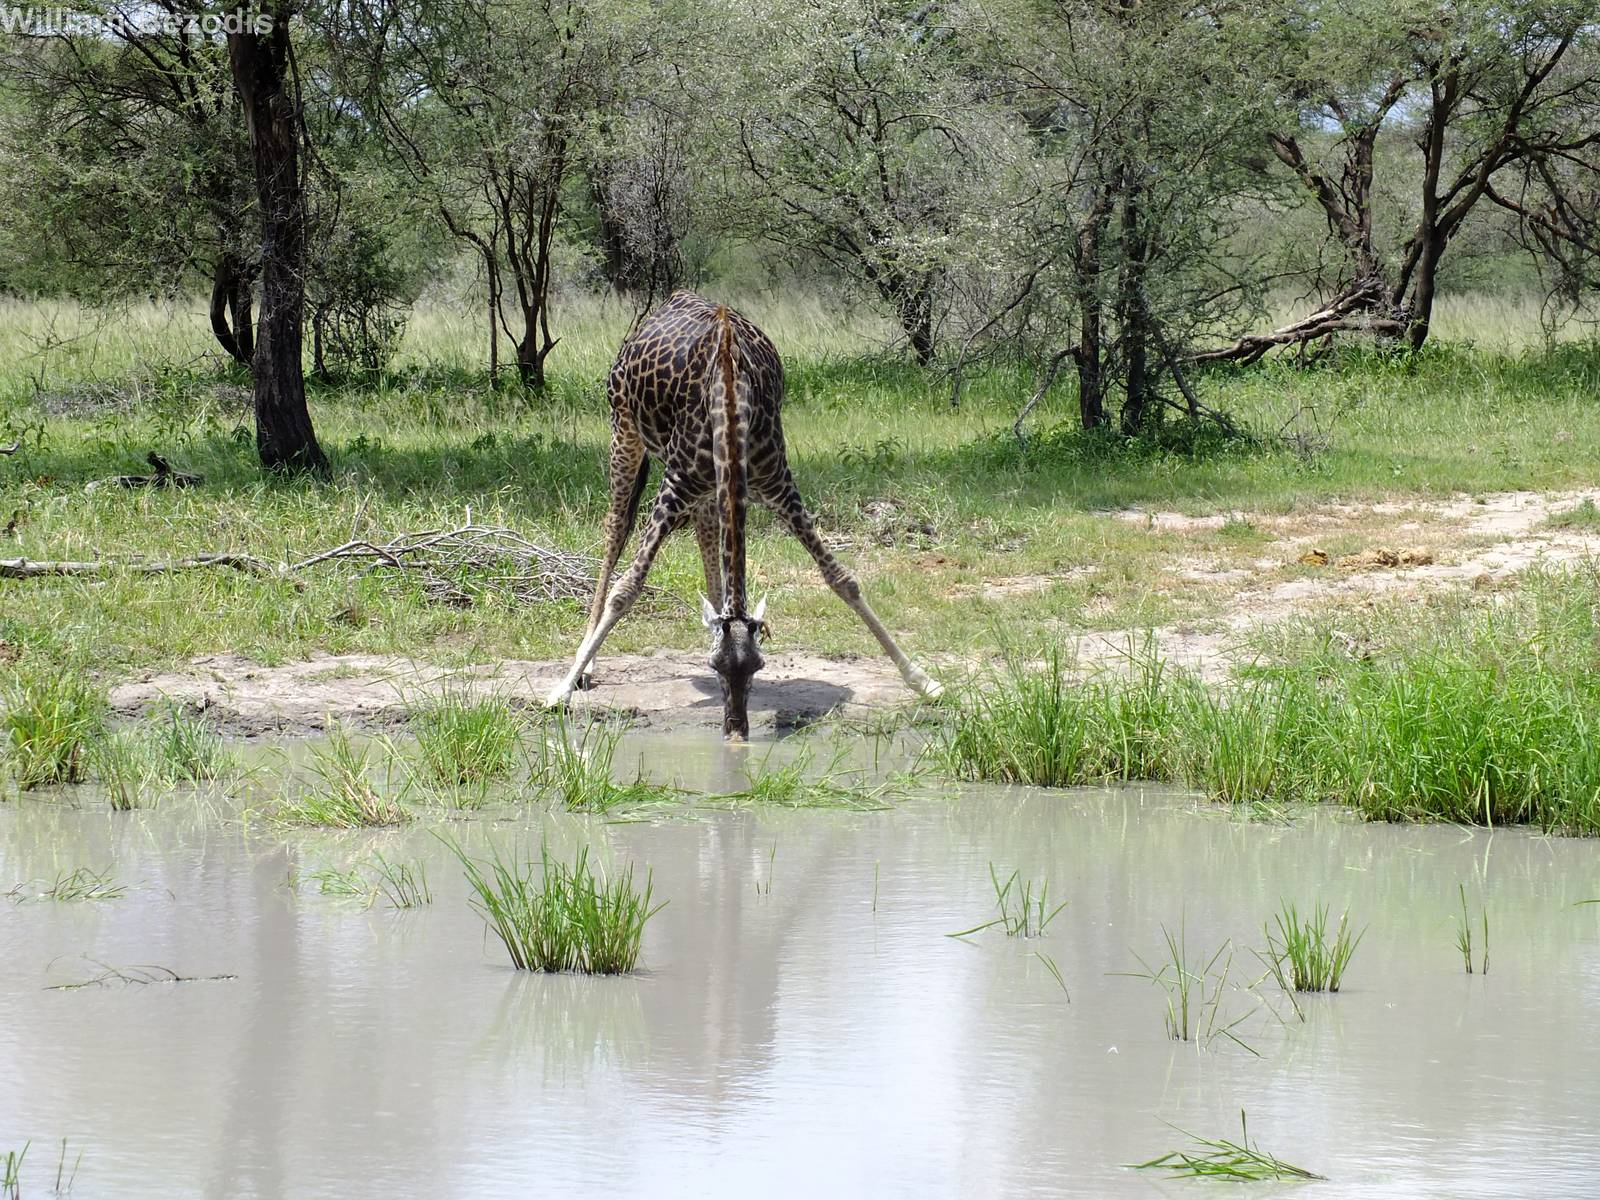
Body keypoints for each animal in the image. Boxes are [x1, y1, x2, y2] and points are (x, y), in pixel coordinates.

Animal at [545, 290, 942, 739]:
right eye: (715, 667)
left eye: (758, 666)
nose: (736, 729)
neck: (730, 398)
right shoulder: (674, 486)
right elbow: (626, 589)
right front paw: (560, 690)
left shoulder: (778, 486)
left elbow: (843, 579)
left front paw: (923, 680)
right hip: (624, 432)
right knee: (615, 528)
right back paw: (586, 663)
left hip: (704, 487)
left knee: (705, 534)